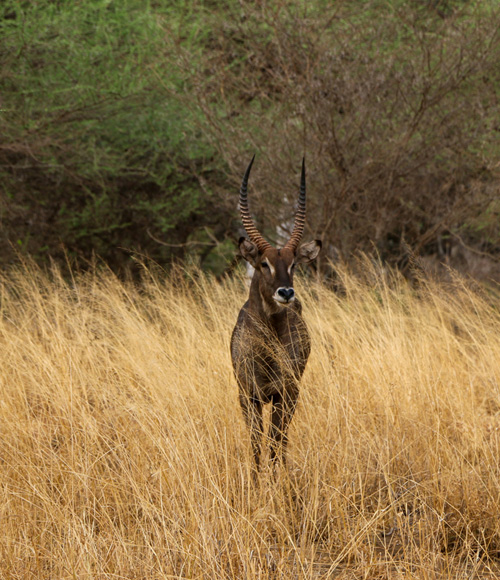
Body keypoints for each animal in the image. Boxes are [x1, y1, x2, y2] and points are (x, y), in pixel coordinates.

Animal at [230, 156, 320, 468]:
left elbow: (275, 444)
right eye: (264, 263)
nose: (286, 293)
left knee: (280, 441)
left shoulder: (285, 394)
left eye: (293, 263)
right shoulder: (249, 396)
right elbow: (256, 445)